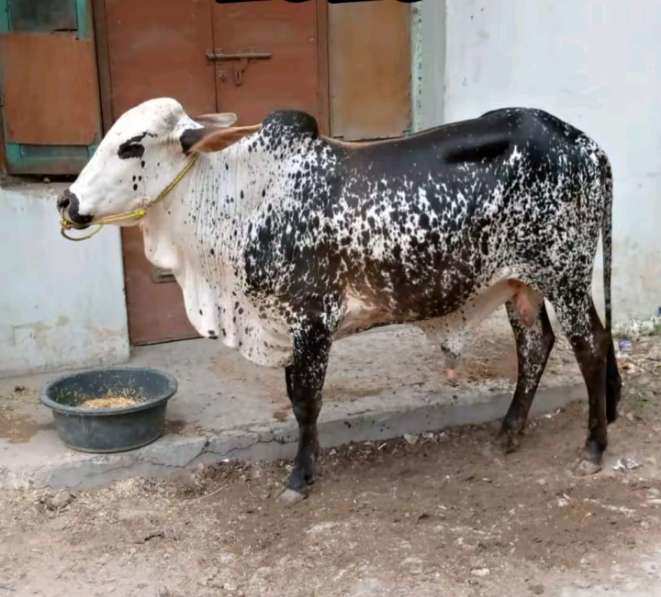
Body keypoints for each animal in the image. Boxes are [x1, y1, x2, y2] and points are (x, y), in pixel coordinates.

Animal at [58, 98, 622, 498]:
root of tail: (586, 145)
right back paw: (509, 432)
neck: (238, 201)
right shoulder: (283, 324)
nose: (67, 200)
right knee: (536, 345)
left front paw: (300, 478)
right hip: (523, 284)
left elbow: (306, 402)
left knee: (591, 348)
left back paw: (593, 447)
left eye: (131, 146)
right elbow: (296, 399)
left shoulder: (311, 320)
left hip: (565, 276)